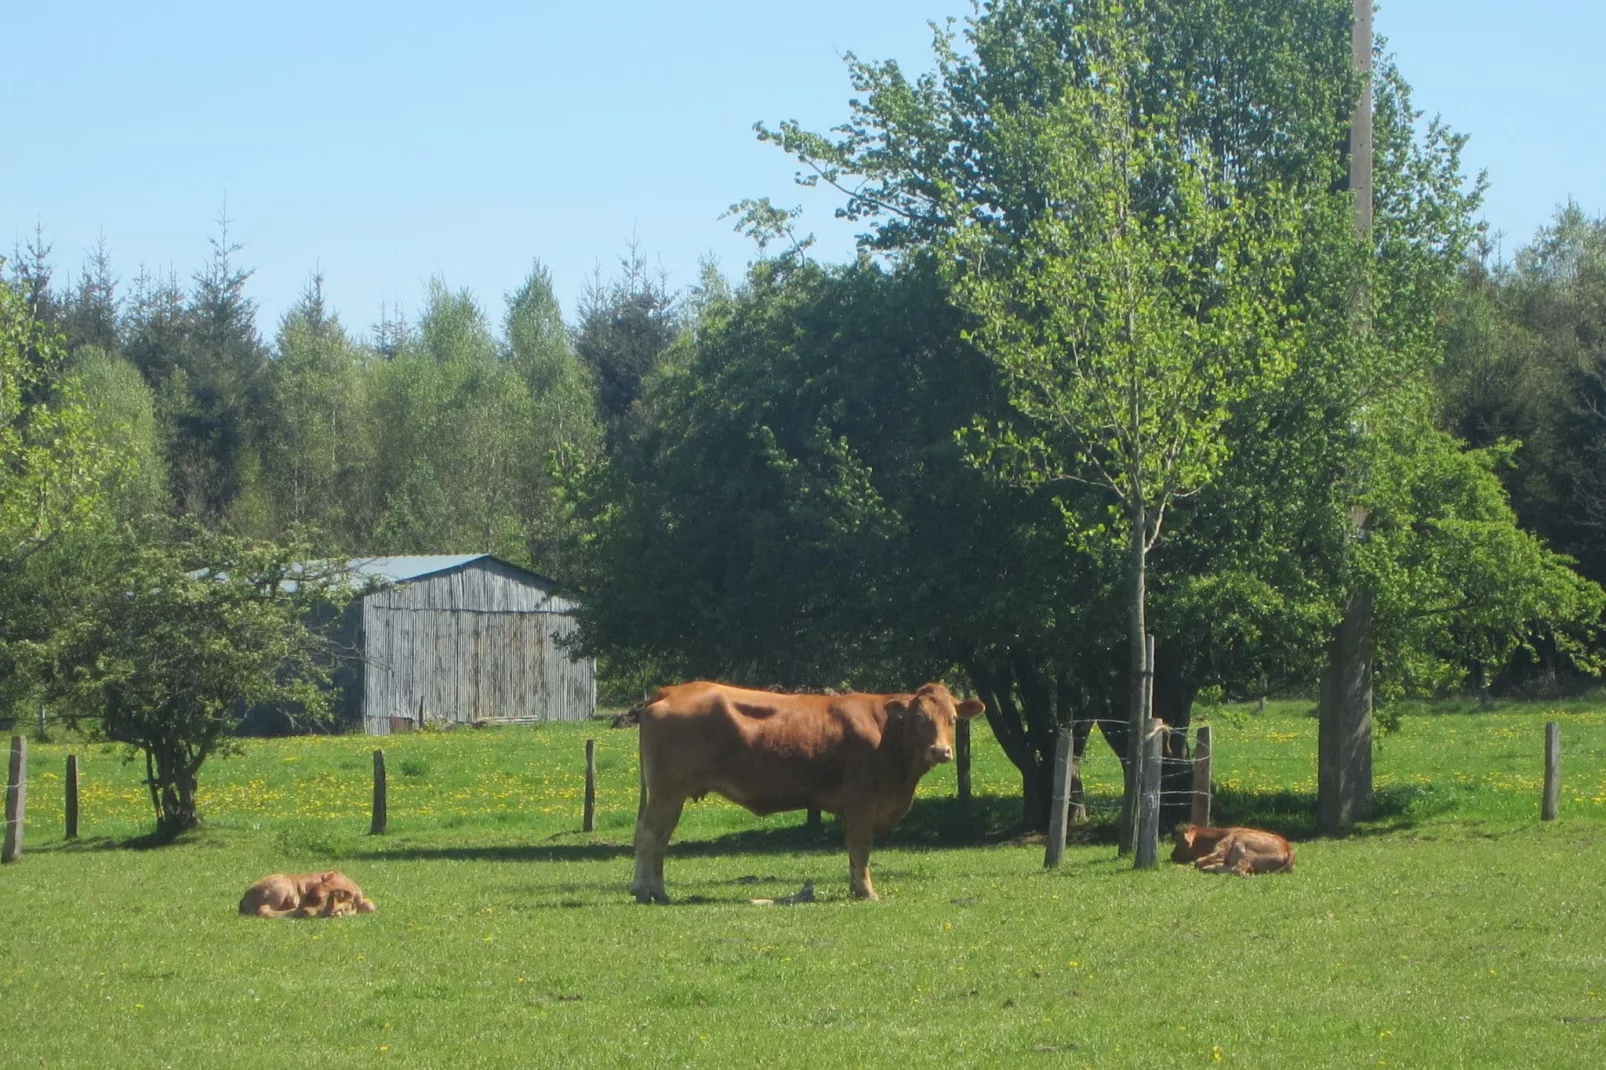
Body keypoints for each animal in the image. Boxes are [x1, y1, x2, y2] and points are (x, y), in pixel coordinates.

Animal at [613, 677, 982, 893]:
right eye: (920, 718)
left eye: (952, 718)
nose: (940, 750)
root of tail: (673, 690)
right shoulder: (861, 801)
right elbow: (860, 845)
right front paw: (866, 892)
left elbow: (854, 850)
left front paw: (855, 889)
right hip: (667, 791)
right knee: (648, 833)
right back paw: (643, 890)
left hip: (669, 794)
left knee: (660, 837)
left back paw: (658, 891)